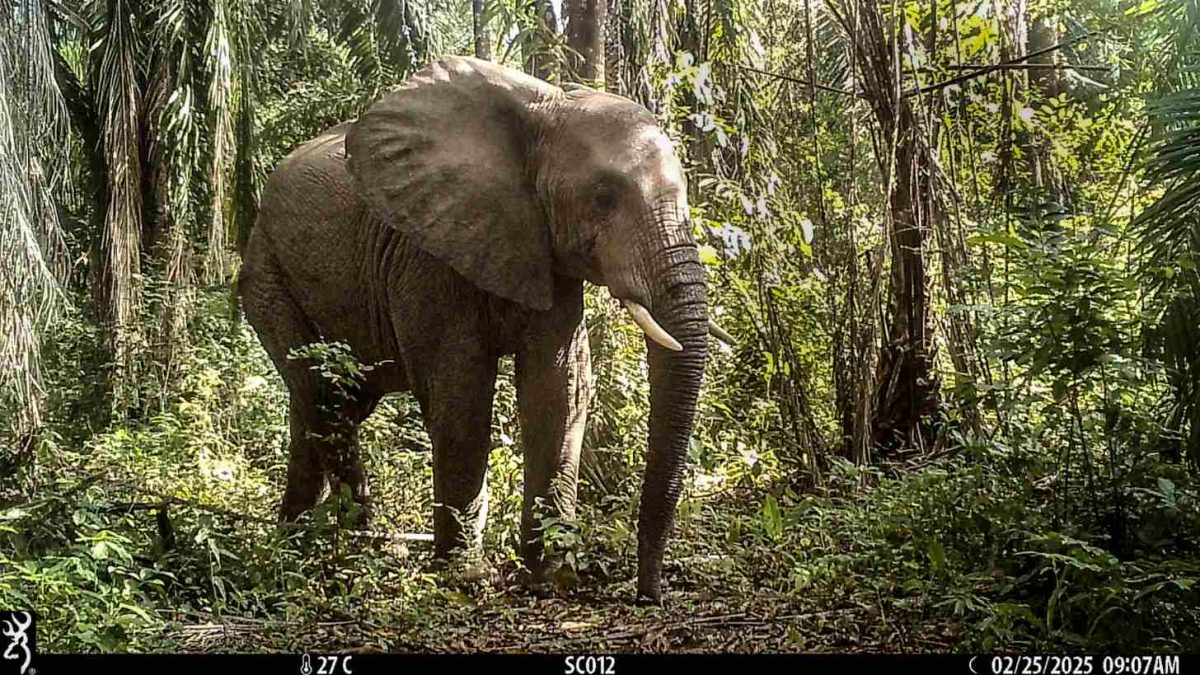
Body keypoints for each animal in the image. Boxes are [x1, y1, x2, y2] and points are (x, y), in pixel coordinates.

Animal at [239, 56, 729, 603]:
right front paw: (465, 578)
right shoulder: (427, 253)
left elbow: (557, 389)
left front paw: (550, 577)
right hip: (267, 274)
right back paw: (349, 554)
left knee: (319, 406)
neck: (547, 109)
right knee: (327, 400)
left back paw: (296, 547)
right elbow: (461, 396)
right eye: (603, 198)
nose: (648, 594)